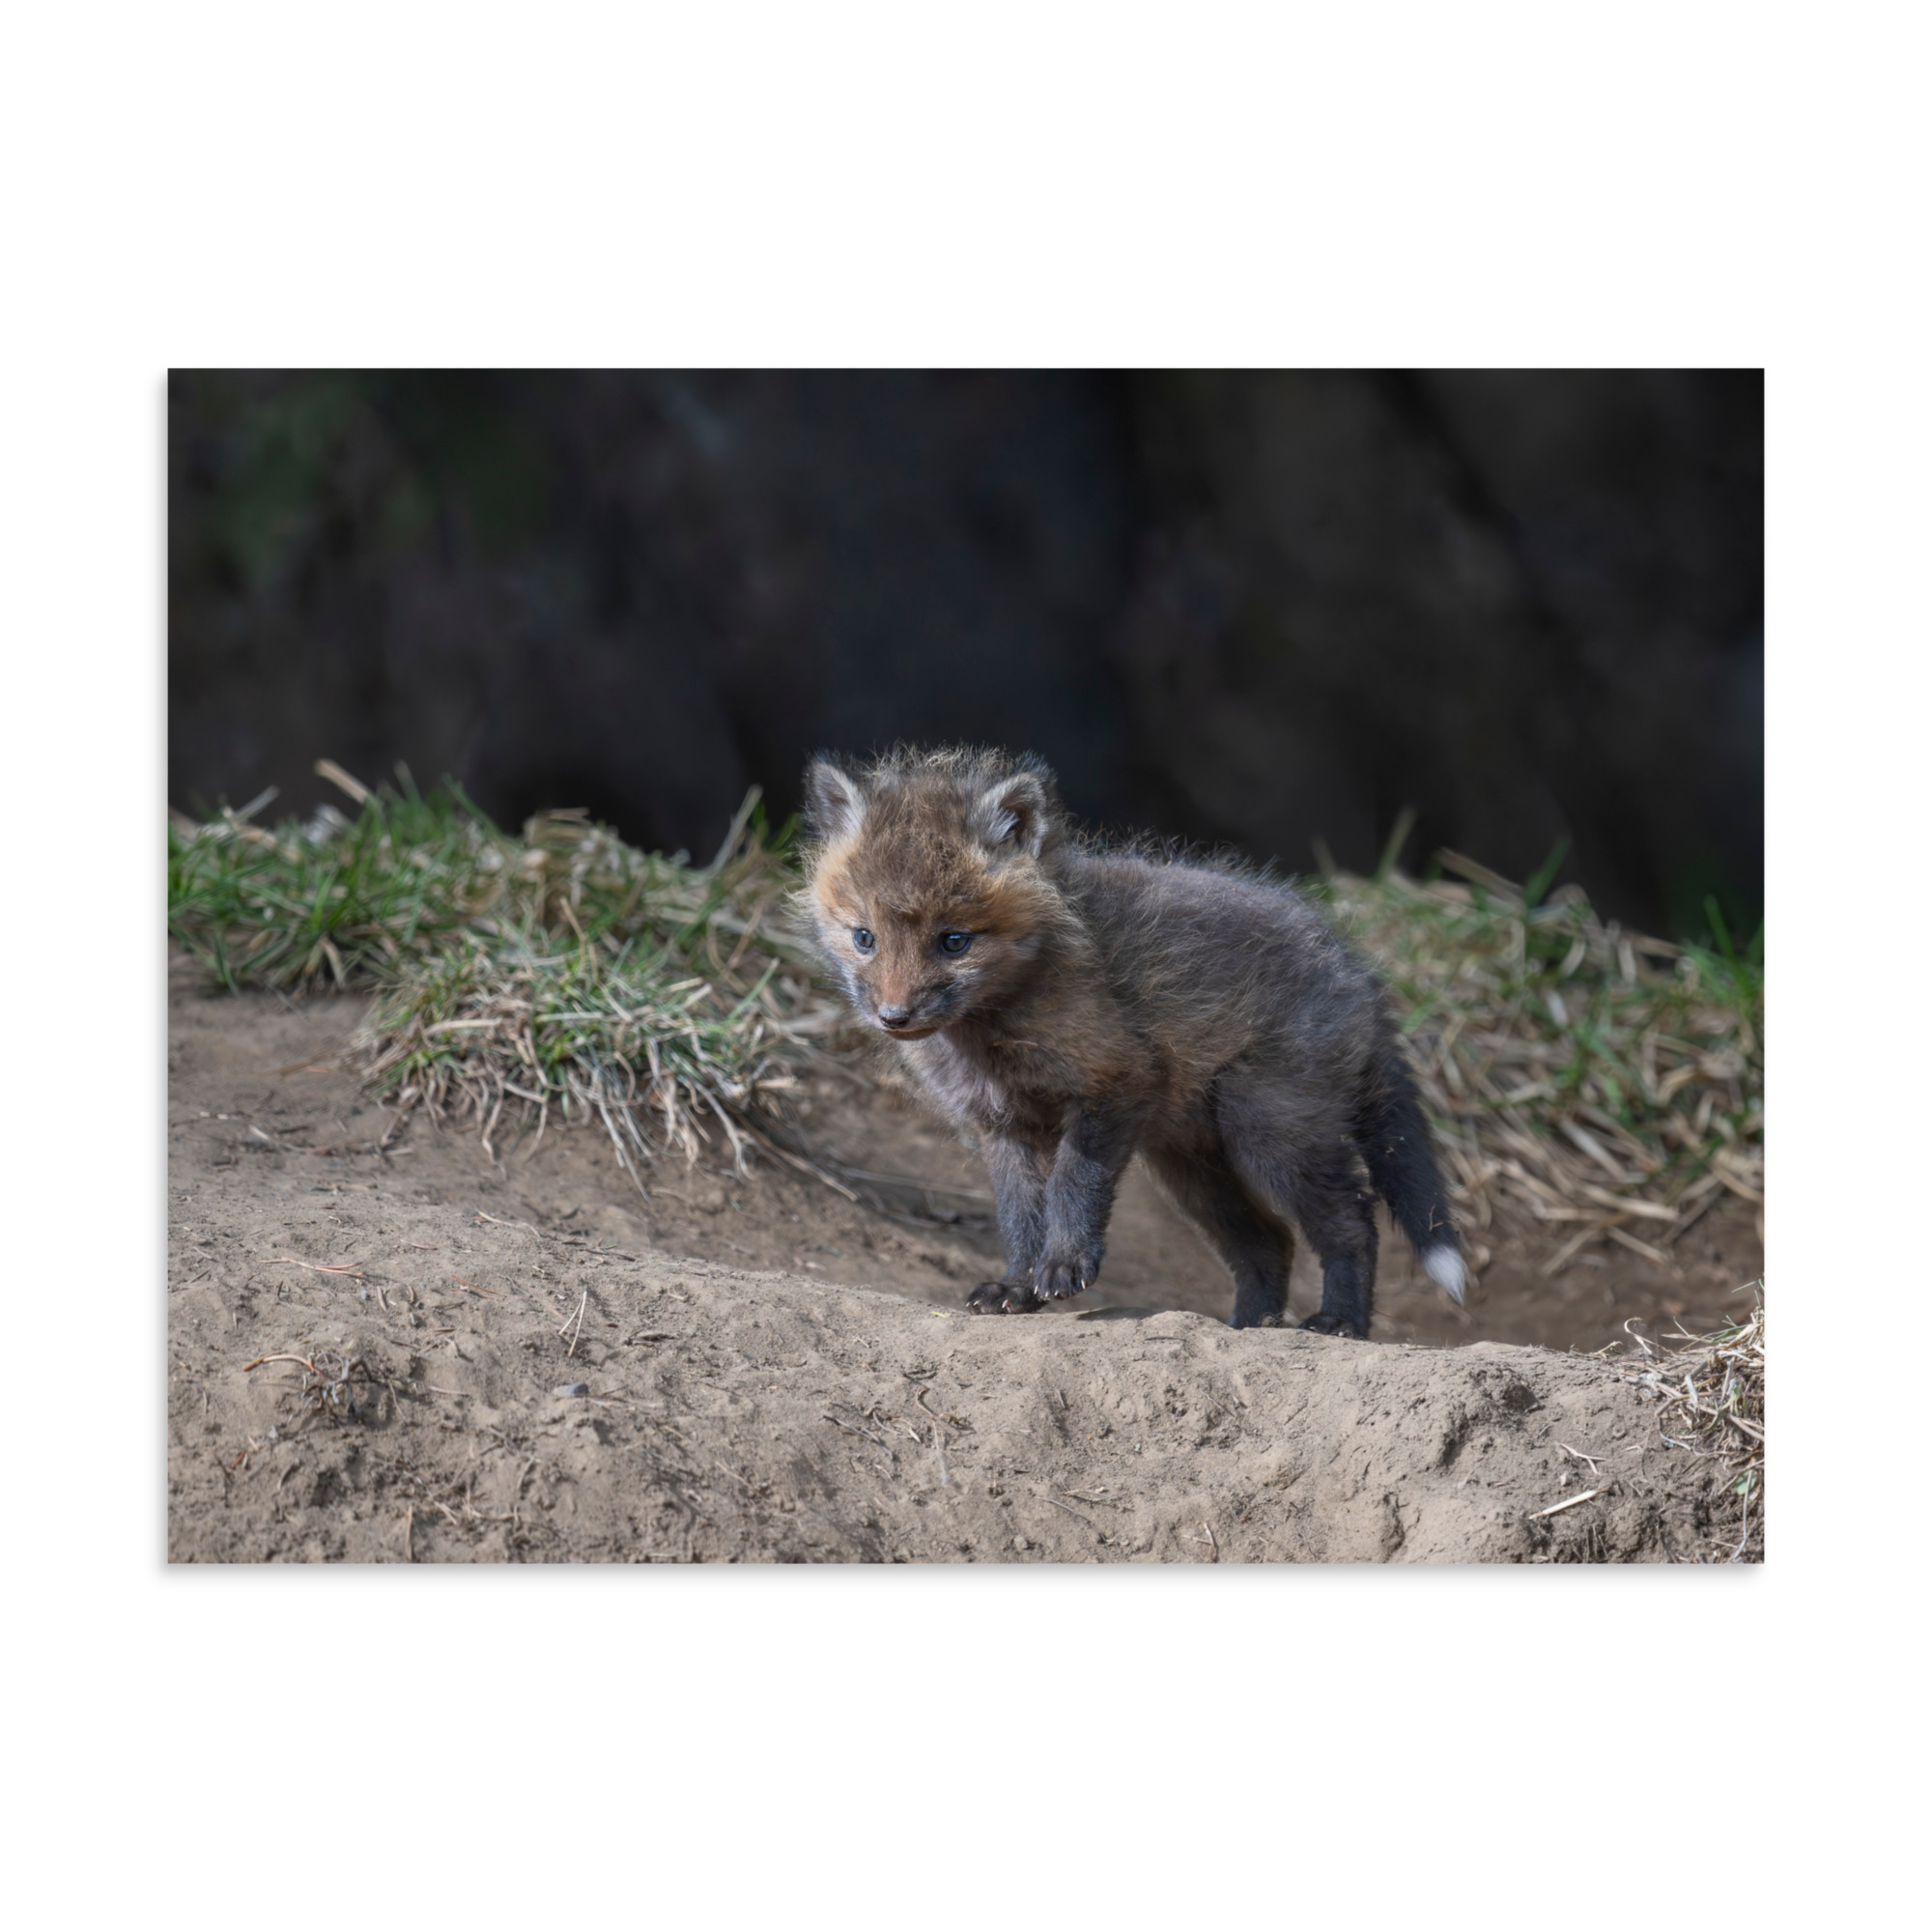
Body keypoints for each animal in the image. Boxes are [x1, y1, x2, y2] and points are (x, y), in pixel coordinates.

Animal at [798, 745, 1467, 1338]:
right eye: (864, 937)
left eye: (954, 941)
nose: (894, 1017)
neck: (994, 1034)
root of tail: (1359, 973)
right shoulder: (1002, 1125)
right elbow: (1019, 1215)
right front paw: (1017, 1286)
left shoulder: (1115, 1082)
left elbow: (1073, 1185)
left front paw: (1064, 1266)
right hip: (1192, 1167)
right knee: (1269, 1243)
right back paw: (1249, 1327)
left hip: (1269, 1133)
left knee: (1353, 1221)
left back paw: (1340, 1322)